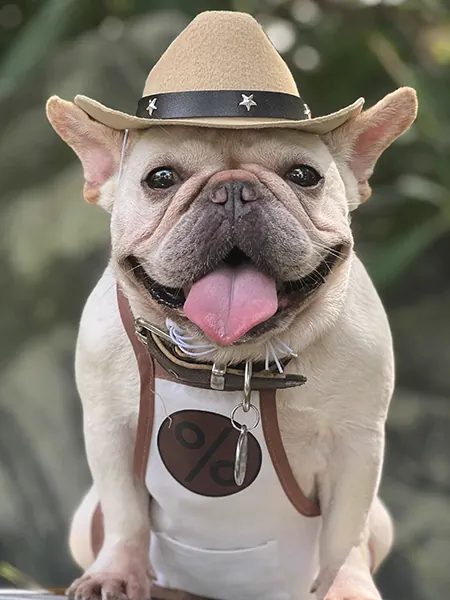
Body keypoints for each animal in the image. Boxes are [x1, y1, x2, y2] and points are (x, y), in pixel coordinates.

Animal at [44, 9, 416, 600]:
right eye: (161, 178)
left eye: (304, 176)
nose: (235, 190)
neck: (231, 362)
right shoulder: (109, 434)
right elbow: (126, 516)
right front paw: (116, 573)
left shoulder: (357, 447)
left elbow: (343, 534)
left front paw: (345, 585)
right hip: (87, 519)